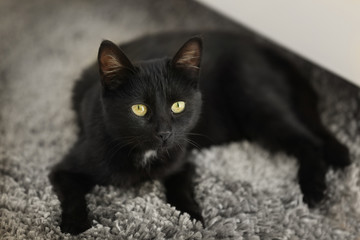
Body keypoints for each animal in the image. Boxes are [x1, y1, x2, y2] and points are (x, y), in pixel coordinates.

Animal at [49, 31, 350, 234]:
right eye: (139, 109)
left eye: (178, 105)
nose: (164, 133)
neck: (145, 155)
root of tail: (268, 51)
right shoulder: (66, 167)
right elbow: (73, 194)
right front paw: (75, 225)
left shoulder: (182, 157)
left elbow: (179, 185)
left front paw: (191, 216)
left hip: (257, 106)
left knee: (310, 142)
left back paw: (313, 189)